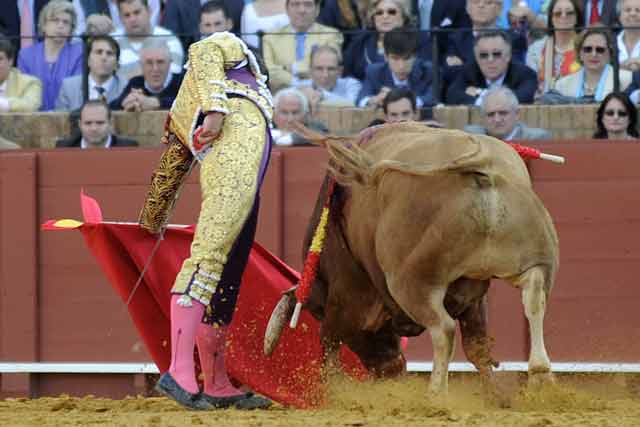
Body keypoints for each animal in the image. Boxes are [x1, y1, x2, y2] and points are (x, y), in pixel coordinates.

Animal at [262, 122, 556, 396]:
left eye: (317, 311)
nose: (390, 370)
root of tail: (480, 165)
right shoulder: (473, 292)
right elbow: (478, 348)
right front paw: (495, 397)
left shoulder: (345, 296)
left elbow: (329, 344)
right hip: (533, 257)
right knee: (534, 296)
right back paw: (540, 376)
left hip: (410, 282)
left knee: (443, 329)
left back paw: (436, 393)